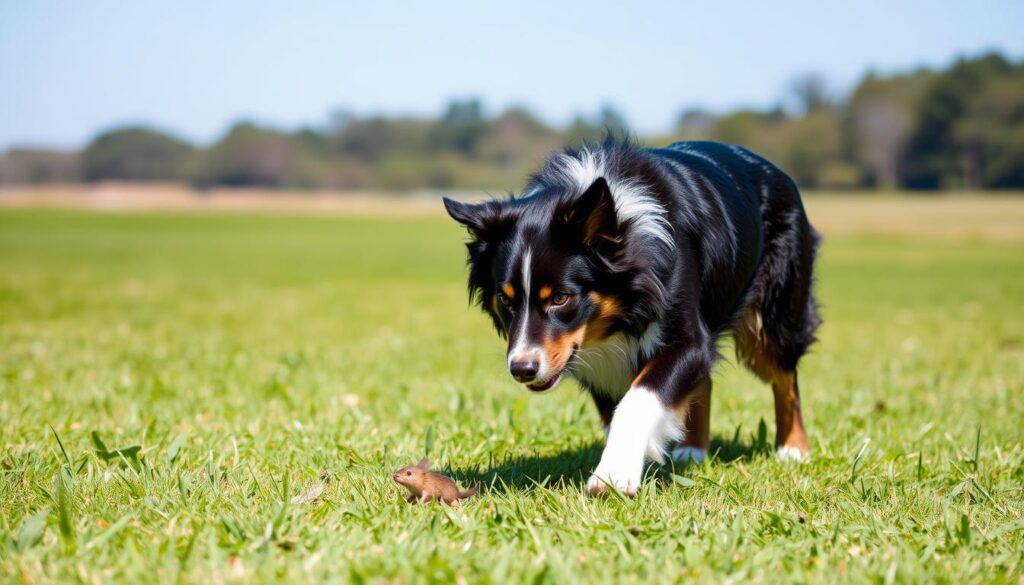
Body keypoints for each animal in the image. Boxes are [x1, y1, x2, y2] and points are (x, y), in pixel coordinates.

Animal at [444, 137, 819, 493]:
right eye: (505, 300)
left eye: (562, 298)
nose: (522, 369)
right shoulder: (599, 359)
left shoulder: (687, 336)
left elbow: (639, 398)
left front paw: (613, 474)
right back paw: (693, 450)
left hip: (776, 314)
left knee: (785, 378)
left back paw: (793, 449)